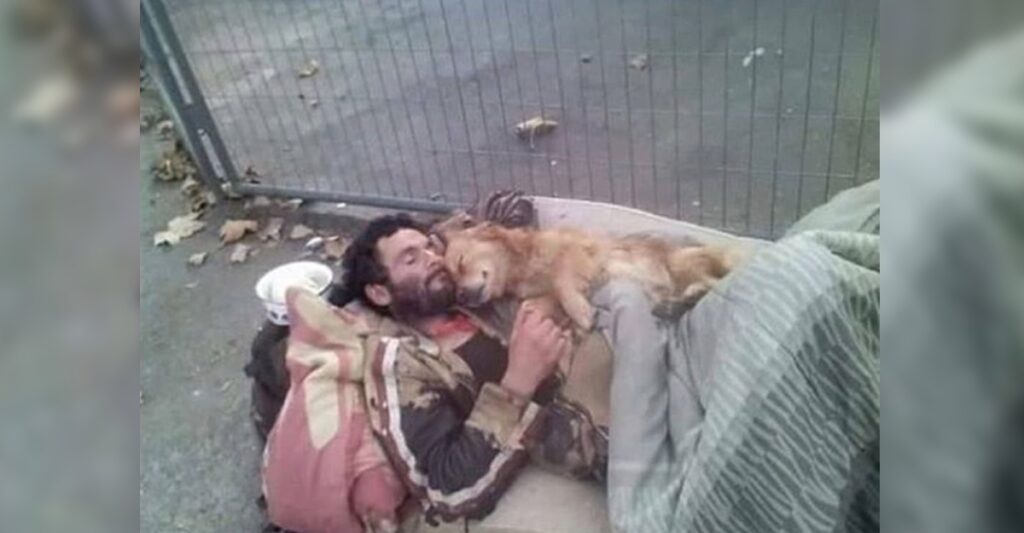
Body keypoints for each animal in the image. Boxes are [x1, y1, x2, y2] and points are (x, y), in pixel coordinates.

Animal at [439, 222, 736, 332]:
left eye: (461, 263)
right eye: (452, 279)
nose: (461, 296)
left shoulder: (577, 253)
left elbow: (562, 282)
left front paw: (580, 313)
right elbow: (538, 302)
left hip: (681, 264)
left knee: (715, 284)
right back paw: (676, 305)